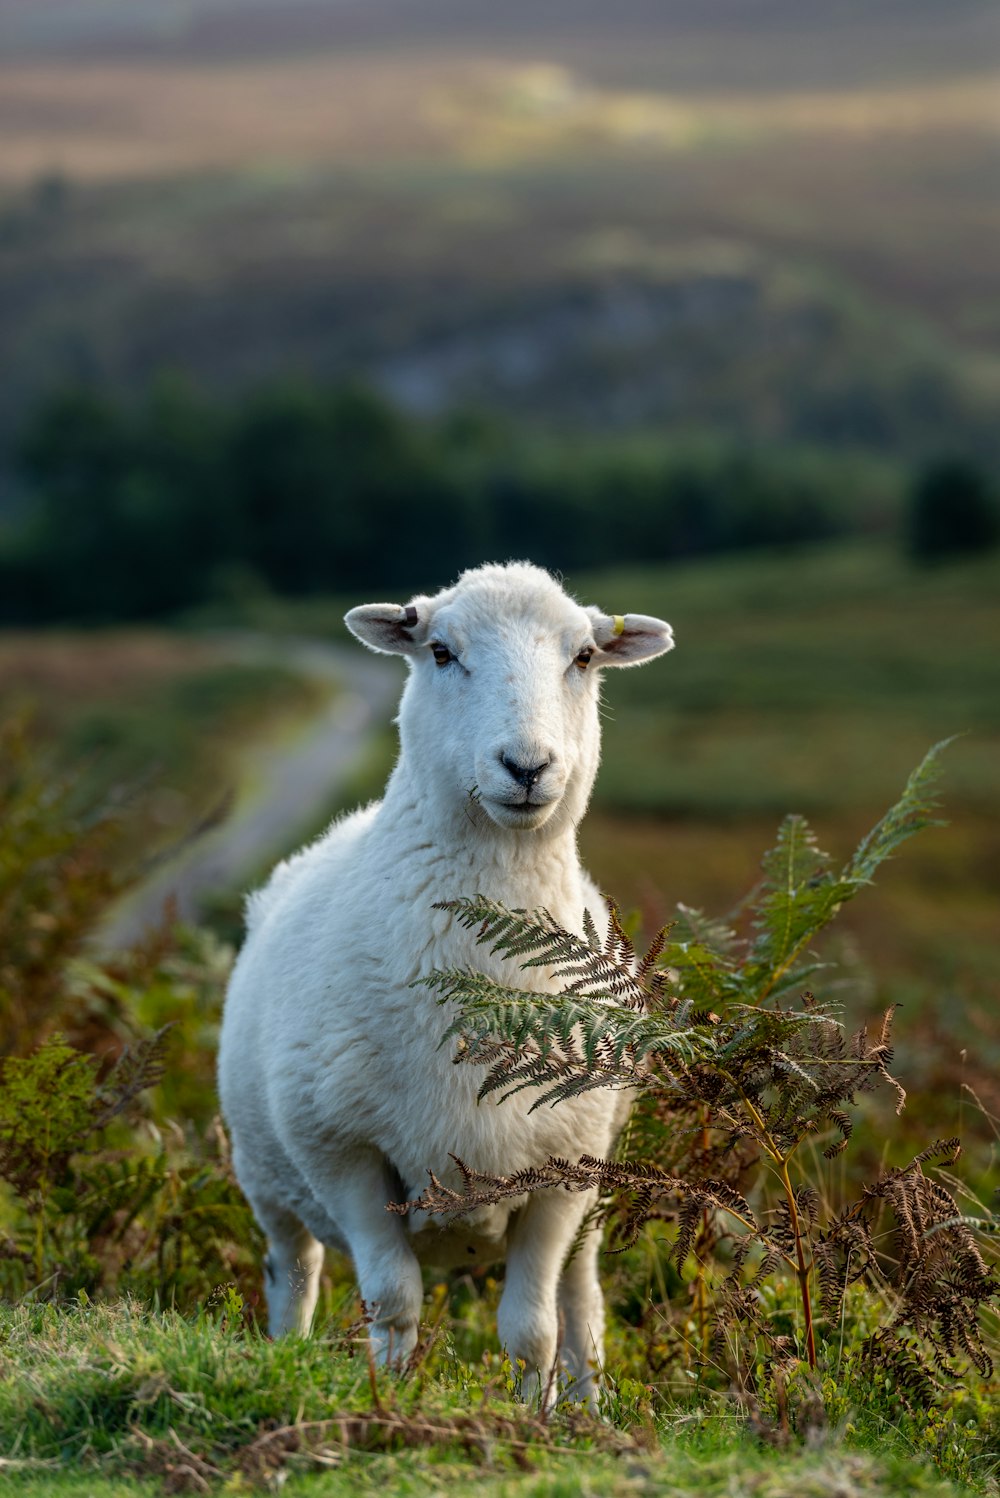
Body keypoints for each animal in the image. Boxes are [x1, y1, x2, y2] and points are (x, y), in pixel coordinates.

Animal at [217, 560, 670, 1402]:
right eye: (439, 650)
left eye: (585, 656)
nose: (527, 767)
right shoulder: (345, 1154)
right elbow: (394, 1303)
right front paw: (388, 1402)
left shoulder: (564, 1173)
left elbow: (533, 1330)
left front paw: (536, 1420)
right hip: (268, 1179)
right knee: (292, 1270)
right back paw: (284, 1354)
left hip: (595, 1188)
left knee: (582, 1301)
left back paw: (589, 1409)